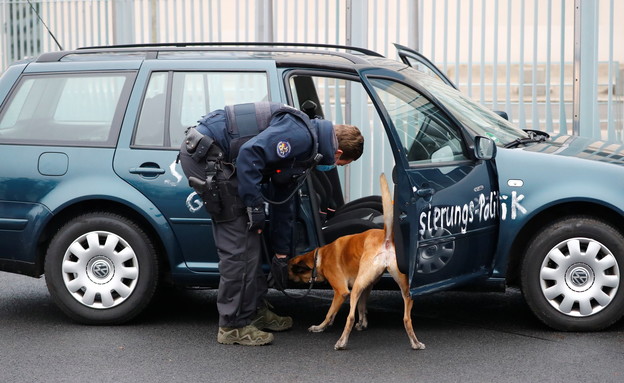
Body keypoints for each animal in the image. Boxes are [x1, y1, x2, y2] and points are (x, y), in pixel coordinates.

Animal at [288, 174, 424, 352]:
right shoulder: (367, 287)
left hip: (355, 289)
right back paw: (415, 342)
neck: (320, 256)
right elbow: (362, 306)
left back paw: (341, 342)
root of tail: (386, 238)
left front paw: (320, 327)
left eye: (292, 270)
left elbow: (330, 313)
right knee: (407, 319)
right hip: (403, 290)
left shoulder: (341, 292)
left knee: (350, 318)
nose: (286, 277)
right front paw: (363, 323)